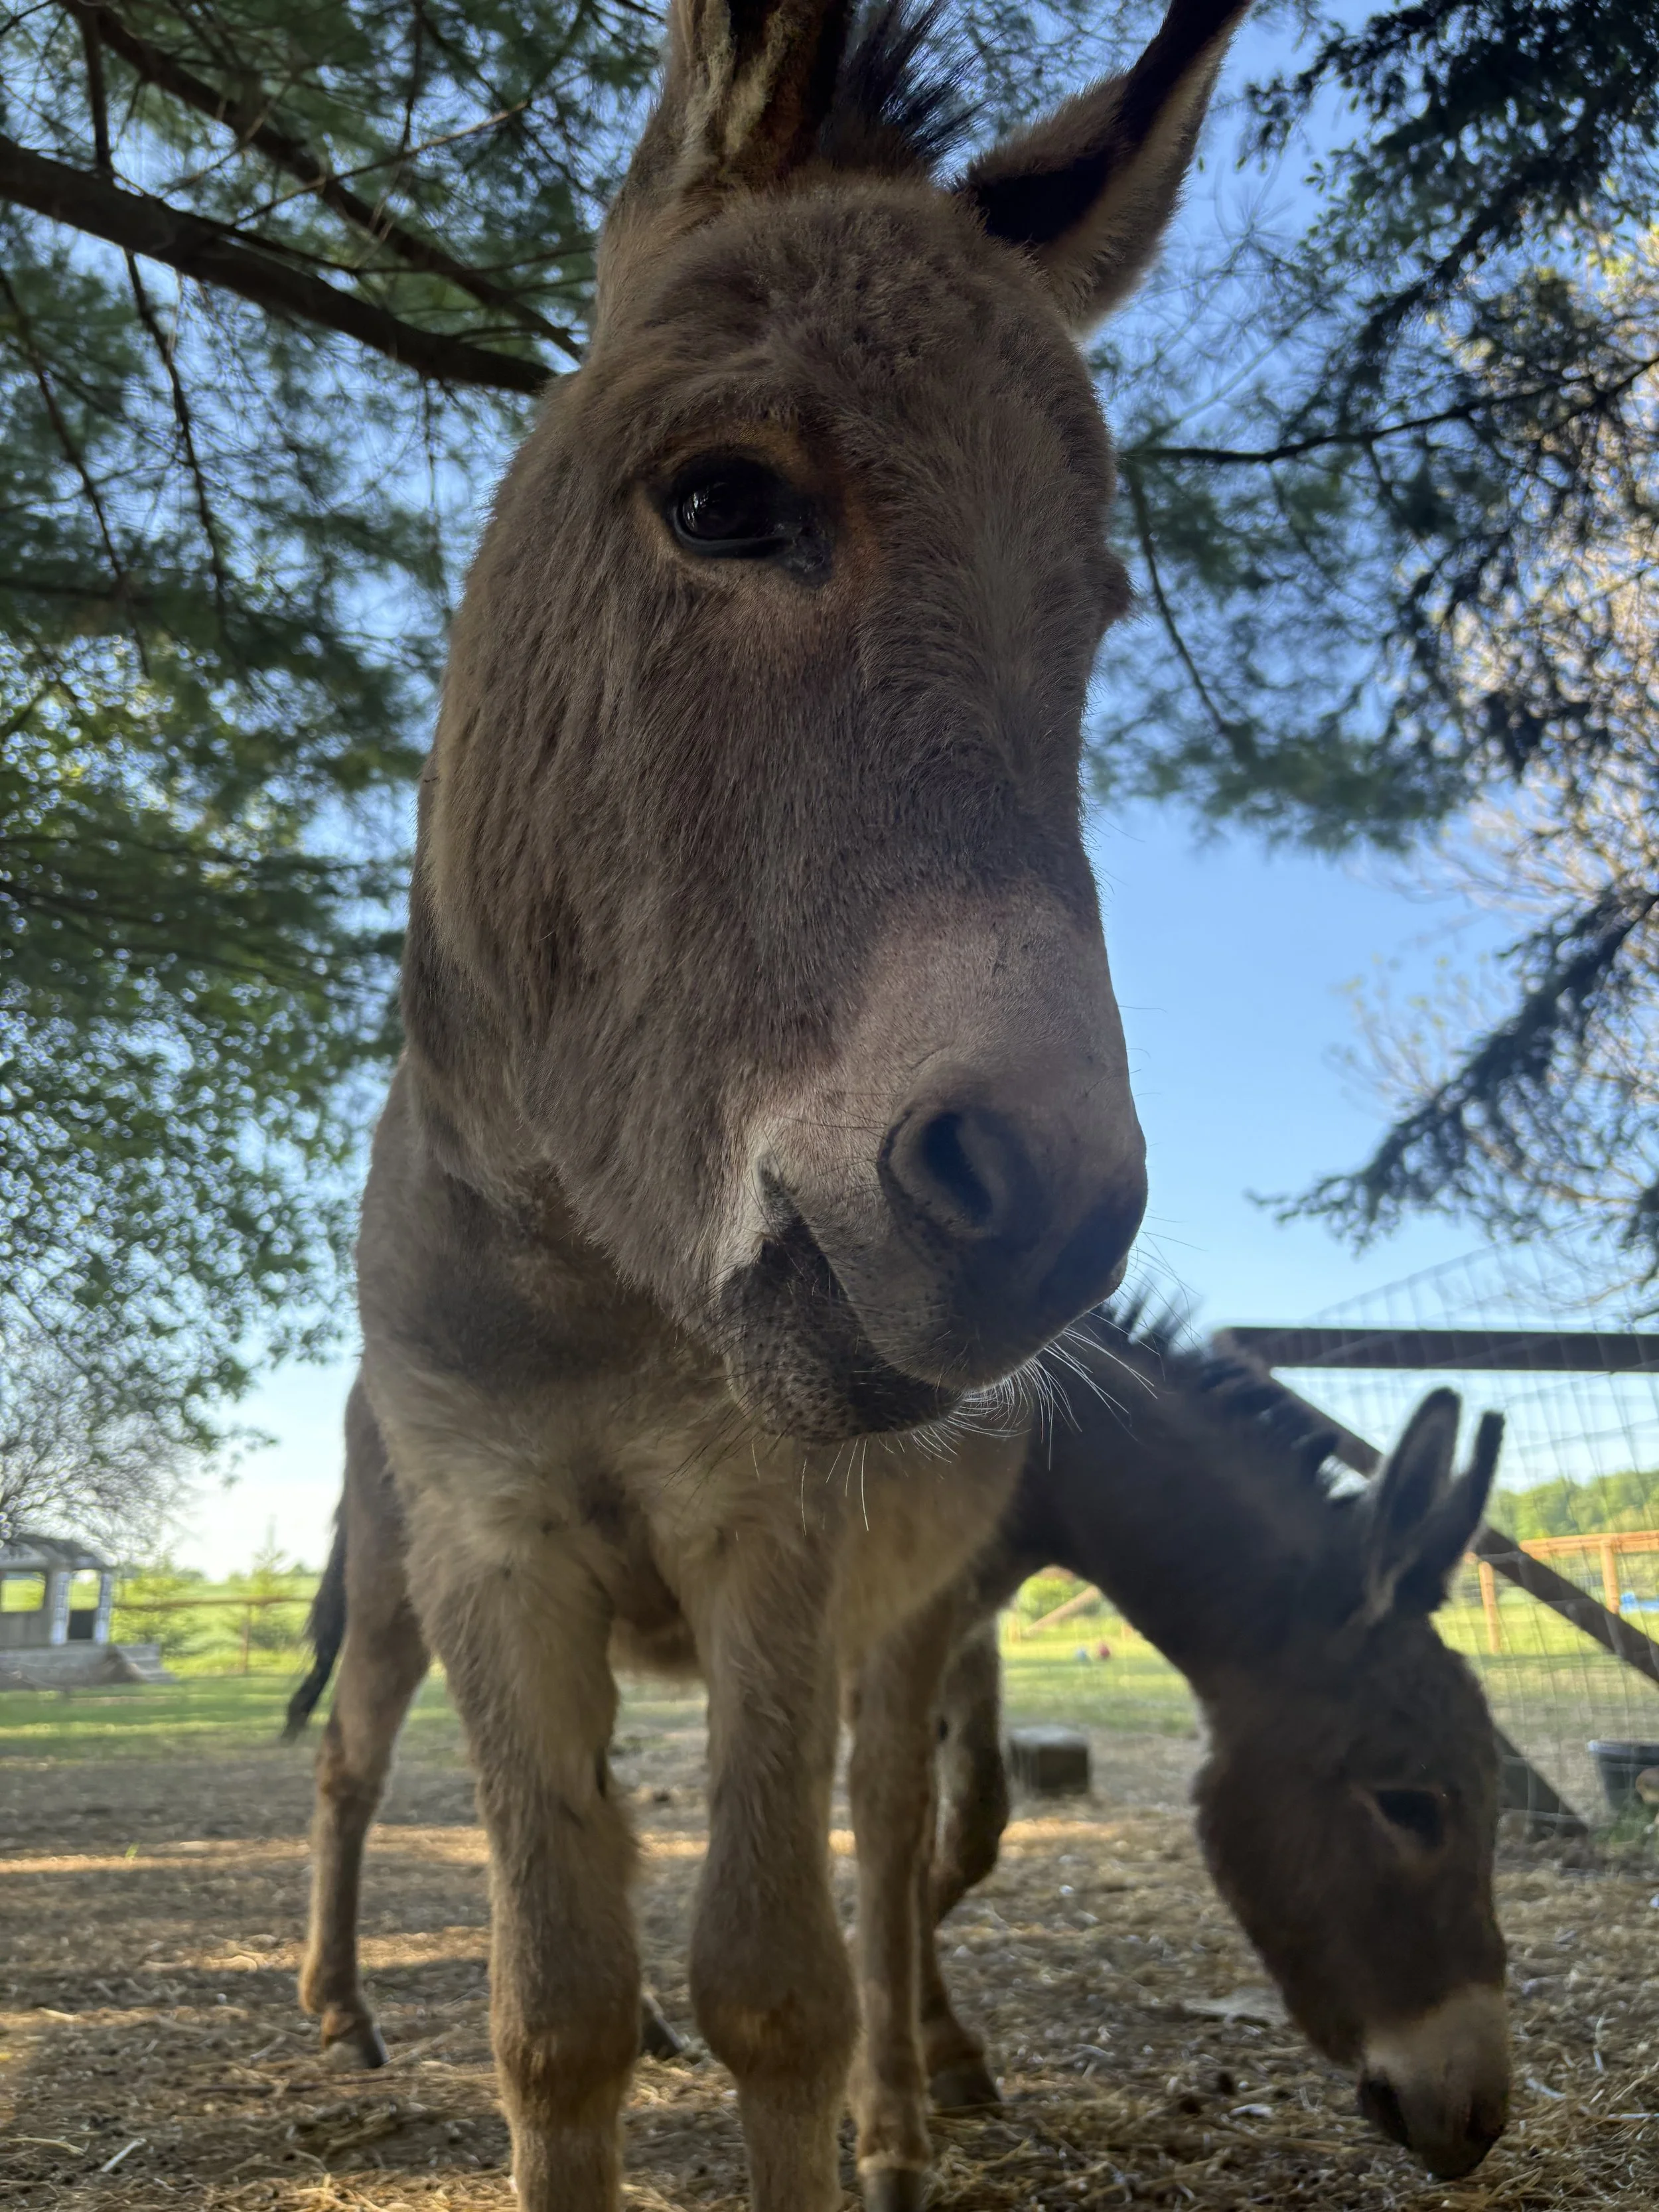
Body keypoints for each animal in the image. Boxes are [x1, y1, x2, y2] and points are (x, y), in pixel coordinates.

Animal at [322, 0, 1253, 2202]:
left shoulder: (778, 1539)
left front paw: (839, 2088)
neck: (583, 1263)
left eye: (1090, 618)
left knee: (895, 1837)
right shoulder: (486, 1536)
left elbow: (778, 1985)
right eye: (726, 503)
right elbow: (554, 2013)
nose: (1045, 1213)